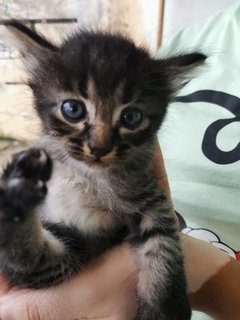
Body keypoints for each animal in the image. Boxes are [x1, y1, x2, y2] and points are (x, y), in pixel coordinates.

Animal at [0, 21, 205, 318]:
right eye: (72, 109)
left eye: (132, 117)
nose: (99, 148)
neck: (85, 178)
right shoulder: (67, 254)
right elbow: (31, 258)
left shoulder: (150, 199)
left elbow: (163, 243)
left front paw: (165, 306)